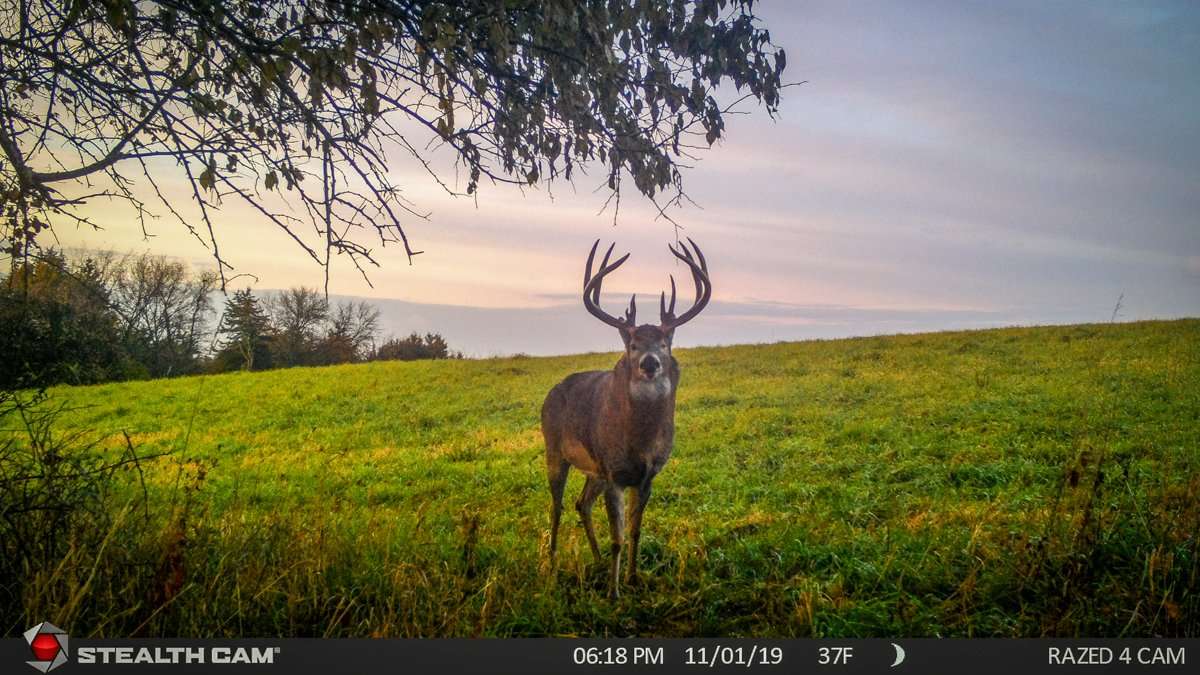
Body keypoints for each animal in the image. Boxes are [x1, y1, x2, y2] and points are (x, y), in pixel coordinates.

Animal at [540, 236, 705, 593]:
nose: (649, 362)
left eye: (664, 344)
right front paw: (614, 593)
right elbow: (617, 538)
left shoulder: (646, 476)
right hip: (555, 449)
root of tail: (551, 391)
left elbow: (634, 531)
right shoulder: (614, 472)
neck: (639, 443)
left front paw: (632, 578)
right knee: (557, 506)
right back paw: (552, 561)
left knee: (581, 503)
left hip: (594, 470)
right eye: (632, 344)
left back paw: (598, 560)